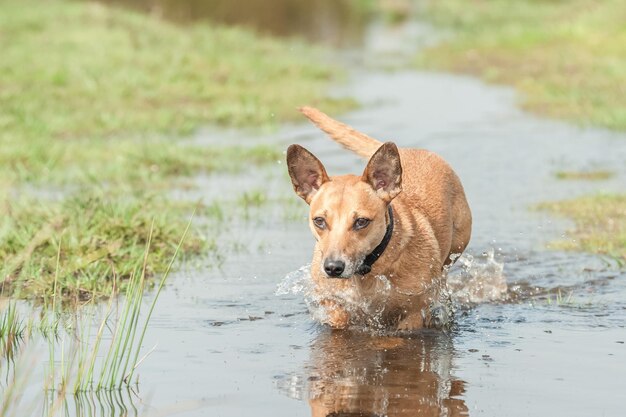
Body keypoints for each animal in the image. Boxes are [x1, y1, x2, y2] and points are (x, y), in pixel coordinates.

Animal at [286, 106, 468, 328]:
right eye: (319, 221)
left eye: (361, 222)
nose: (333, 268)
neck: (366, 273)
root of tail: (409, 150)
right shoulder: (334, 306)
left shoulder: (413, 313)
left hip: (457, 245)